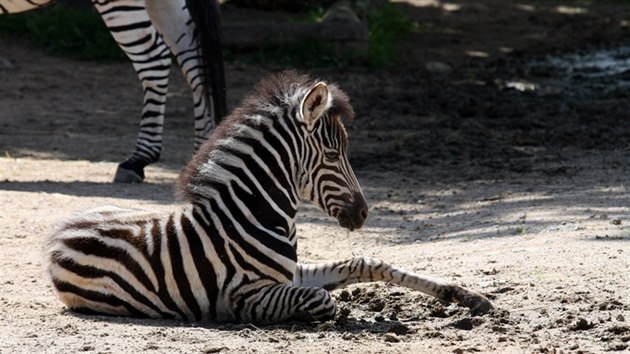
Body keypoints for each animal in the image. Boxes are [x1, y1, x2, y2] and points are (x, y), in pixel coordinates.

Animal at [47, 72, 496, 324]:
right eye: (332, 156)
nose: (364, 213)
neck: (252, 216)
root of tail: (58, 232)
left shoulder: (290, 273)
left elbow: (366, 262)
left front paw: (466, 296)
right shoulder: (243, 297)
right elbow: (322, 300)